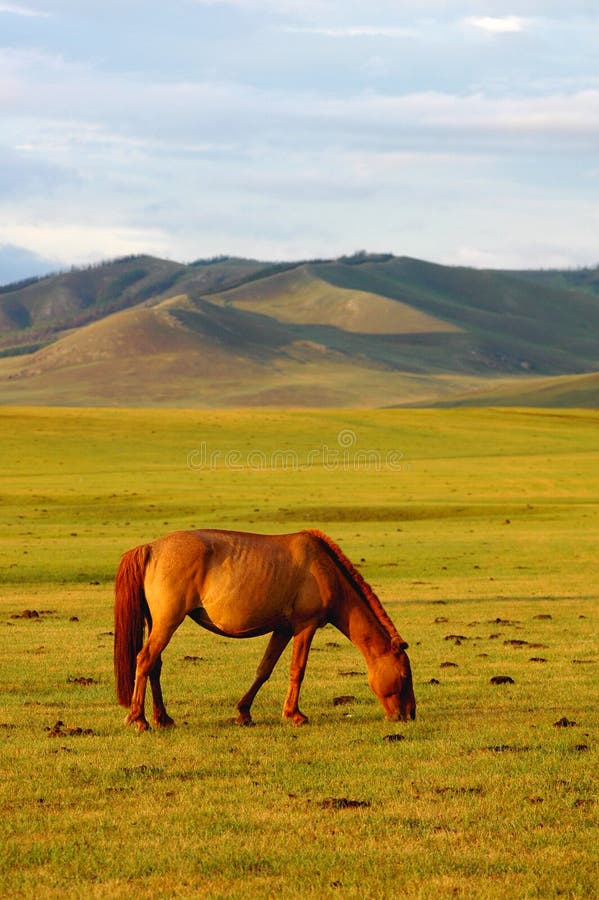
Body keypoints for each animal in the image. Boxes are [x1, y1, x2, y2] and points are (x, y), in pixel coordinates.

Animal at [113, 528, 418, 732]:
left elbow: (264, 670)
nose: (408, 715)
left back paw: (163, 718)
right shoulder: (305, 626)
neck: (323, 568)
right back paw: (139, 719)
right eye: (404, 676)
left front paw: (243, 712)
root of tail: (150, 548)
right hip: (167, 623)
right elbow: (297, 670)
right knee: (145, 659)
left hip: (158, 624)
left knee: (154, 665)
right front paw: (294, 714)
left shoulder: (282, 629)